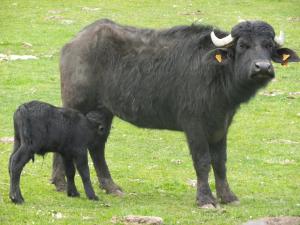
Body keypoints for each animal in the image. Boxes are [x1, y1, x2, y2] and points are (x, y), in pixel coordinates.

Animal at [51, 19, 298, 207]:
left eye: (268, 45)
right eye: (243, 45)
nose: (262, 67)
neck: (216, 73)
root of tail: (72, 44)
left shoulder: (221, 125)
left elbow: (220, 162)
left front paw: (228, 196)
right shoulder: (194, 126)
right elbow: (203, 161)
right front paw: (205, 199)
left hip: (103, 111)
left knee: (98, 145)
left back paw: (111, 186)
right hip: (75, 104)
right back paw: (60, 183)